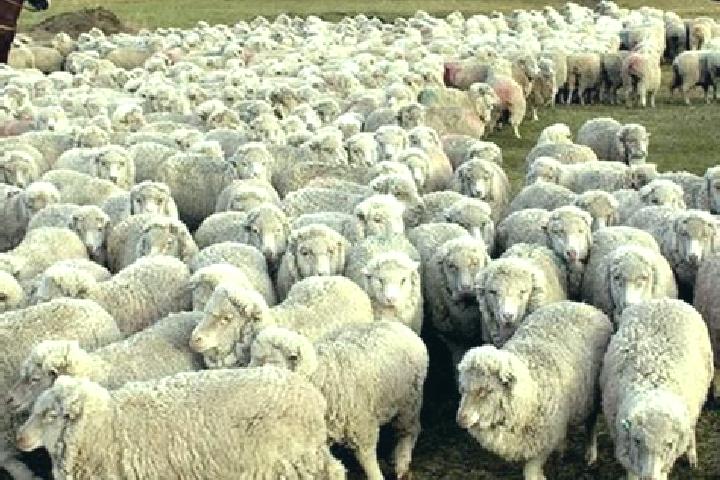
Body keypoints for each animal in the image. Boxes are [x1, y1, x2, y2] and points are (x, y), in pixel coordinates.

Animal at [249, 322, 427, 480]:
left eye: (271, 363)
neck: (318, 375)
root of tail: (397, 325)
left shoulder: (362, 425)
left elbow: (367, 458)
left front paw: (377, 475)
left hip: (408, 401)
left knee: (410, 430)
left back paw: (402, 462)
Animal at [457, 302, 612, 480]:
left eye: (485, 391)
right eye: (463, 389)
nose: (460, 419)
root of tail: (581, 304)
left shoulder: (544, 437)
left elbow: (531, 470)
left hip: (592, 395)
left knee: (591, 423)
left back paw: (590, 454)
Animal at [601, 299, 713, 480]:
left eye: (669, 444)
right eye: (637, 440)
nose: (649, 477)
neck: (653, 387)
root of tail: (663, 300)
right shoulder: (624, 445)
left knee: (691, 430)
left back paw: (692, 455)